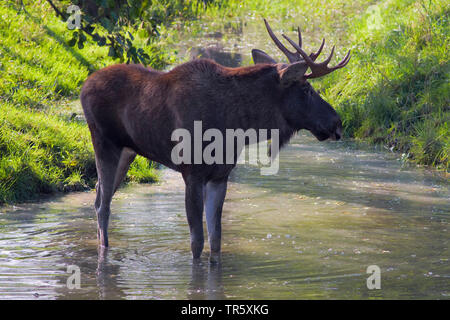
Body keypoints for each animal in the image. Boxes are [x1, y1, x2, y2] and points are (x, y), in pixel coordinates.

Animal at [81, 18, 352, 262]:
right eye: (306, 89)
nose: (337, 123)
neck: (236, 125)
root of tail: (84, 86)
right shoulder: (192, 173)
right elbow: (197, 242)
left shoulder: (220, 176)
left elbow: (216, 241)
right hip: (104, 142)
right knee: (103, 204)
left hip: (128, 151)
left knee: (98, 195)